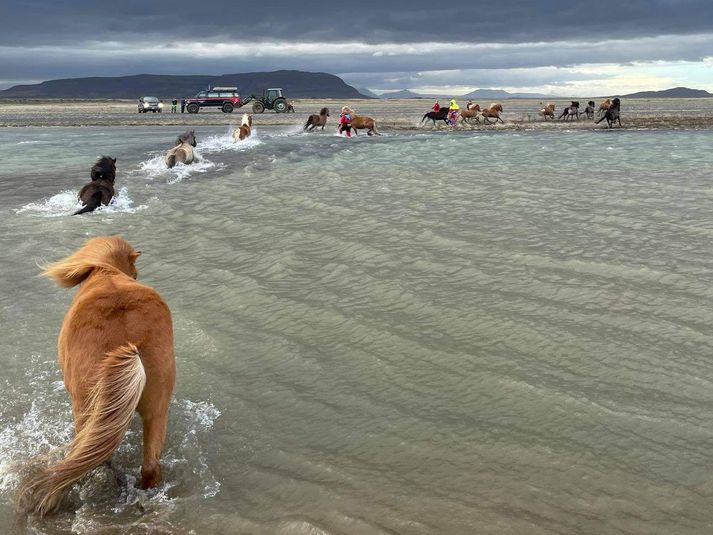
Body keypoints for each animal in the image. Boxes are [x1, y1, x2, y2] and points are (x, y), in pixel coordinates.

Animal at [17, 237, 175, 516]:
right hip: (157, 411)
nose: (136, 275)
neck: (107, 275)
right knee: (149, 466)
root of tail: (130, 342)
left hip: (85, 410)